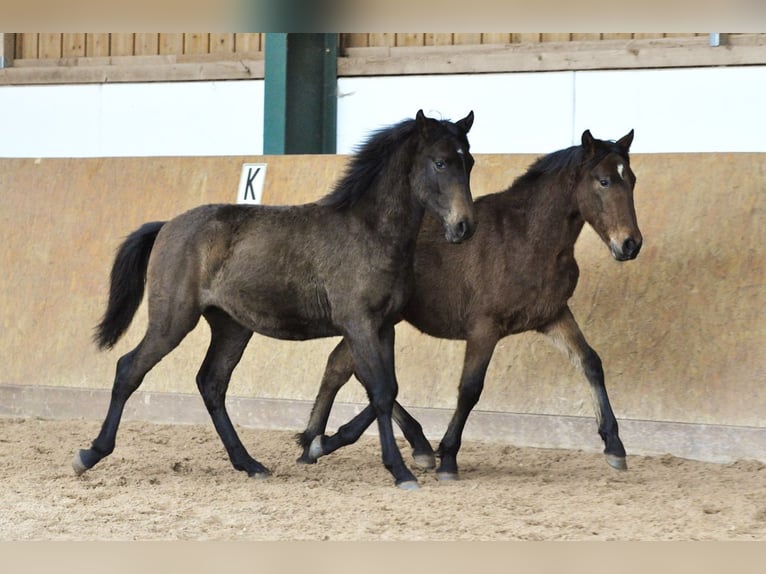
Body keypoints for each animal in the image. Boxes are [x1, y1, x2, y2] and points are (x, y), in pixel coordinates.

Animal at [75, 110, 476, 488]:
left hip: (232, 327)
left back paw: (250, 464)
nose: (464, 227)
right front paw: (400, 470)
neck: (369, 232)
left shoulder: (383, 326)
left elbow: (385, 389)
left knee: (212, 383)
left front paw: (329, 445)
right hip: (172, 320)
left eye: (469, 162)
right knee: (130, 369)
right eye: (440, 162)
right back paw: (90, 454)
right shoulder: (359, 324)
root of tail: (167, 226)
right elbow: (379, 390)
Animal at [298, 130, 640, 482]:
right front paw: (448, 457)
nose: (630, 244)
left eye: (632, 180)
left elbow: (590, 362)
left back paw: (318, 442)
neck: (526, 238)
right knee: (358, 373)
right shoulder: (484, 328)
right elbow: (469, 388)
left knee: (342, 367)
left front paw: (614, 446)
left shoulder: (553, 316)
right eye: (603, 181)